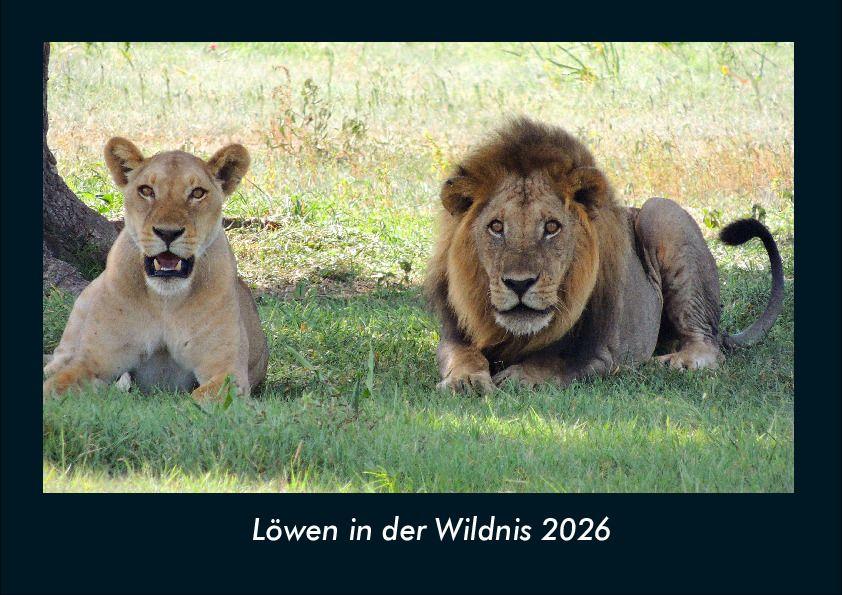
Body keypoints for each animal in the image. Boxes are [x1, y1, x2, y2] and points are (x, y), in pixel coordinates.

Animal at [43, 138, 269, 400]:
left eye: (197, 193)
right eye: (146, 191)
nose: (168, 233)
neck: (165, 301)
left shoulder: (227, 371)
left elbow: (201, 398)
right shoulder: (93, 361)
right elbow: (55, 386)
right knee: (58, 360)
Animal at [425, 118, 784, 392]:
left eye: (552, 227)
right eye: (497, 227)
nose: (519, 284)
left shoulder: (602, 352)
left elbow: (556, 362)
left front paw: (519, 377)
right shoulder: (454, 335)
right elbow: (462, 355)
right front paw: (466, 380)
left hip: (661, 213)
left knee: (707, 345)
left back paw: (671, 363)